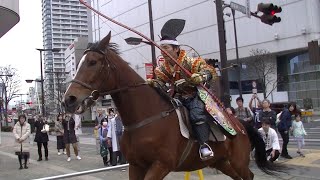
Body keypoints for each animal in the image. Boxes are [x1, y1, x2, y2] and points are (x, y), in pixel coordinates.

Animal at [63, 32, 284, 180]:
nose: (69, 99)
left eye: (92, 62)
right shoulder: (136, 165)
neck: (145, 118)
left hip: (238, 160)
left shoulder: (161, 164)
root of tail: (240, 125)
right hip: (222, 162)